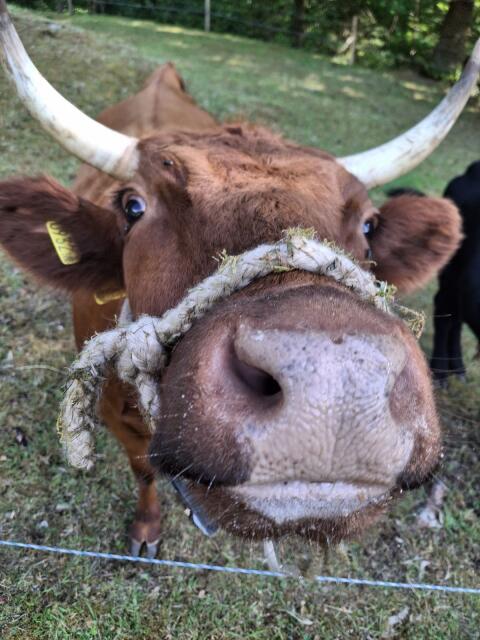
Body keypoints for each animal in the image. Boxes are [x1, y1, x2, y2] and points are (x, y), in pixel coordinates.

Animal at [0, 1, 479, 556]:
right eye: (133, 206)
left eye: (368, 224)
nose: (334, 383)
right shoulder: (119, 420)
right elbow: (143, 469)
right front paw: (146, 530)